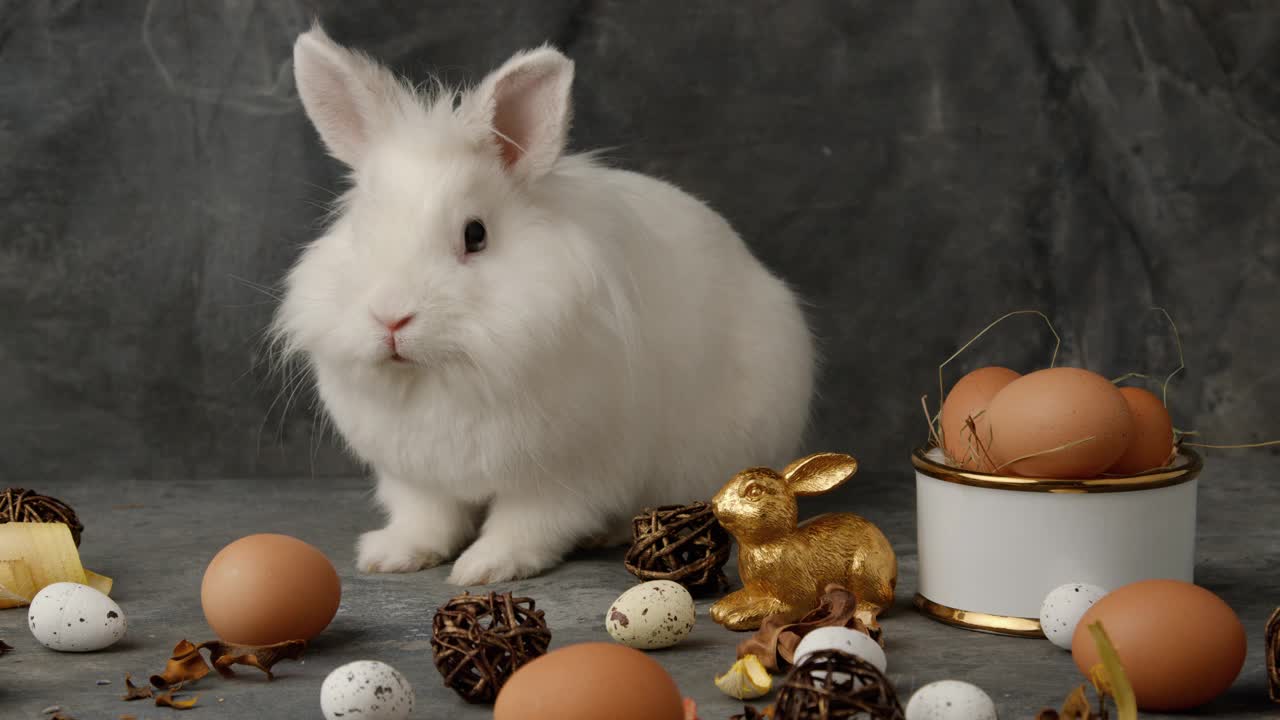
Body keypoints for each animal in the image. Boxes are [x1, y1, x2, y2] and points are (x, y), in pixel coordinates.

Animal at [277, 25, 819, 586]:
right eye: (361, 228)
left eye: (475, 235)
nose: (390, 318)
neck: (446, 374)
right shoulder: (417, 475)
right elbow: (426, 518)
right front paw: (393, 555)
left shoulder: (562, 474)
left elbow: (529, 524)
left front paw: (486, 567)